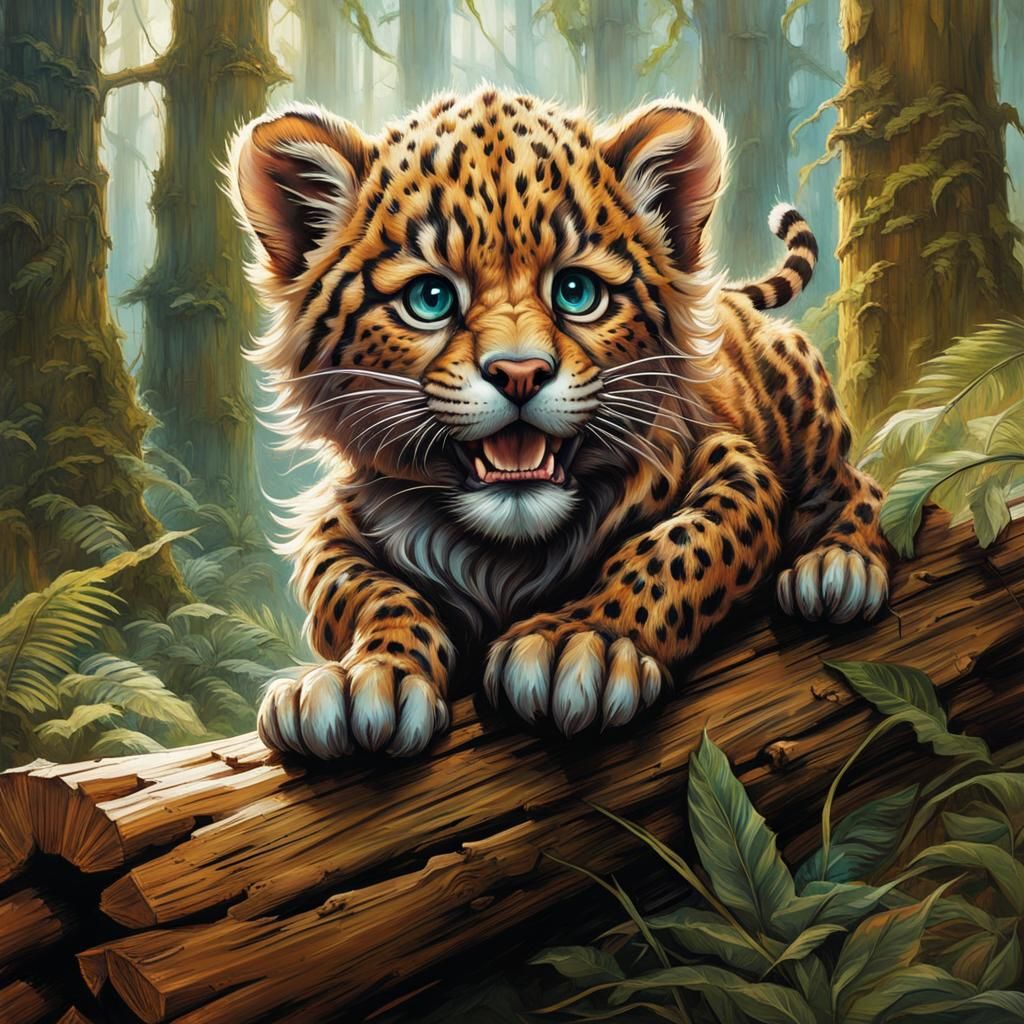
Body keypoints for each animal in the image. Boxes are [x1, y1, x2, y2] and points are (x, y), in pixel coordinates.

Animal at [228, 86, 892, 759]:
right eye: (430, 300)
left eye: (576, 291)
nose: (520, 373)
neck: (503, 554)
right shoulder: (335, 521)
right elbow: (363, 591)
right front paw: (366, 676)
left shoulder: (732, 461)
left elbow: (683, 544)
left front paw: (581, 642)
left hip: (803, 410)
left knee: (861, 485)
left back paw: (839, 568)